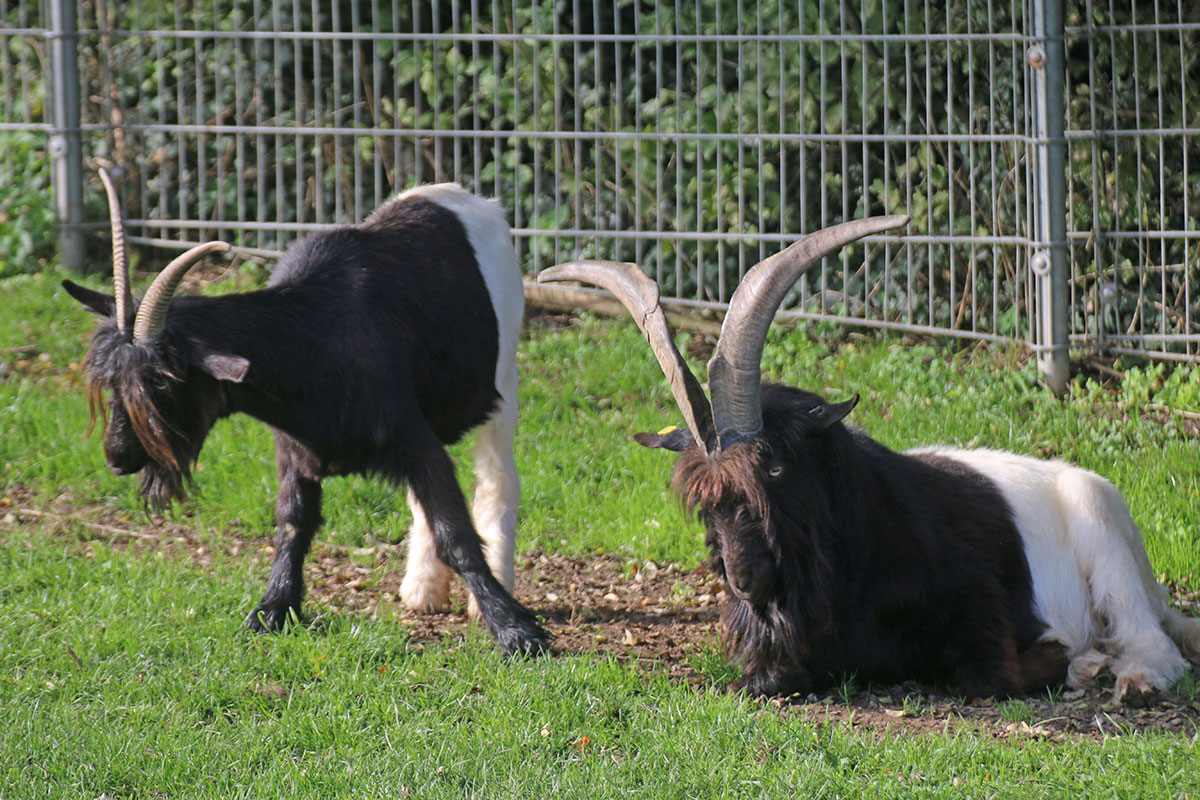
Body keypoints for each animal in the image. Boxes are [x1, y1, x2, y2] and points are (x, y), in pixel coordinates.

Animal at [64, 172, 544, 652]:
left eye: (161, 382)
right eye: (111, 385)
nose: (117, 457)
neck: (314, 338)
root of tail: (459, 194)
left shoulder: (413, 439)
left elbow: (455, 532)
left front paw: (514, 629)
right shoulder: (295, 450)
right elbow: (294, 522)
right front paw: (273, 608)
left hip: (503, 386)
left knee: (498, 482)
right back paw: (422, 590)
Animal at [544, 217, 1200, 700]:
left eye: (774, 467)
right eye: (708, 500)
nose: (742, 578)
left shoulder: (984, 614)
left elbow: (993, 676)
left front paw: (1078, 661)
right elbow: (766, 681)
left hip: (1106, 536)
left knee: (1154, 643)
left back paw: (1131, 678)